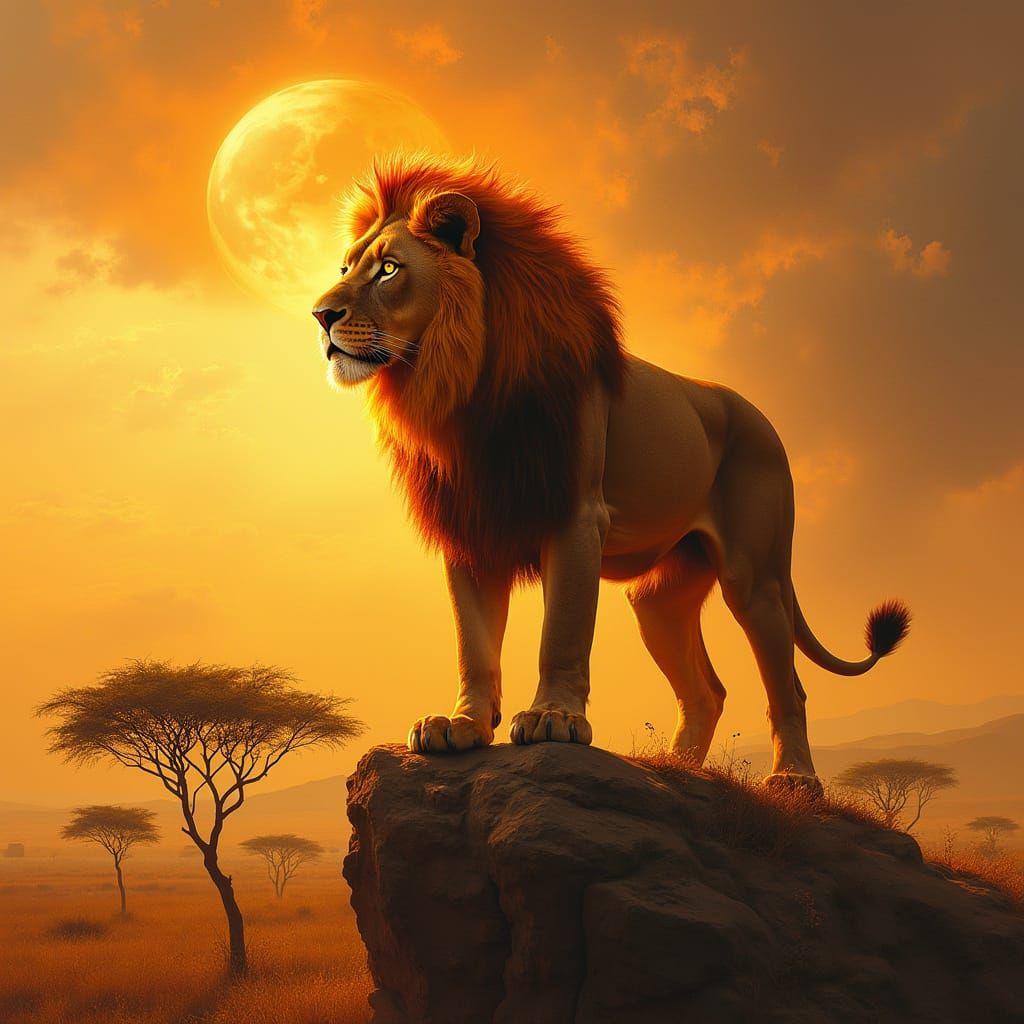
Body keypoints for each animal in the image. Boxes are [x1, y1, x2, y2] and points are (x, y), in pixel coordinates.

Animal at [311, 153, 910, 791]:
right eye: (346, 267)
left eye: (388, 269)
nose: (320, 315)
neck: (463, 389)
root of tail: (760, 416)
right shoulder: (471, 527)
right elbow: (473, 642)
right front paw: (462, 725)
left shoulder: (575, 516)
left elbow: (563, 630)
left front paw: (553, 718)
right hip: (660, 600)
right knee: (707, 691)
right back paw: (672, 771)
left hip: (757, 578)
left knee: (788, 686)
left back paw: (793, 779)